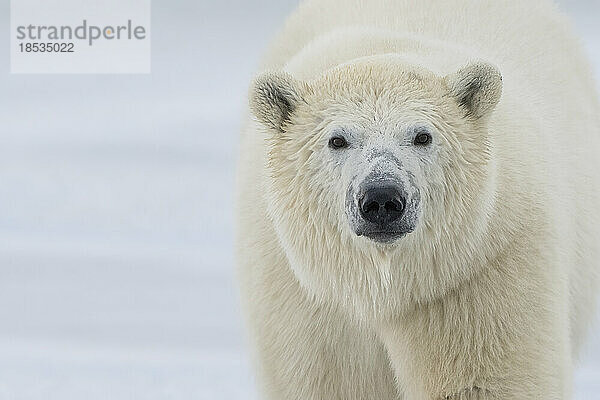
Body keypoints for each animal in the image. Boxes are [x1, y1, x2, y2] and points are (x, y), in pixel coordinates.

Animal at [237, 1, 600, 398]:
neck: (384, 288)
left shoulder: (477, 269)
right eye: (337, 139)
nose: (382, 199)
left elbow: (485, 380)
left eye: (422, 136)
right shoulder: (306, 298)